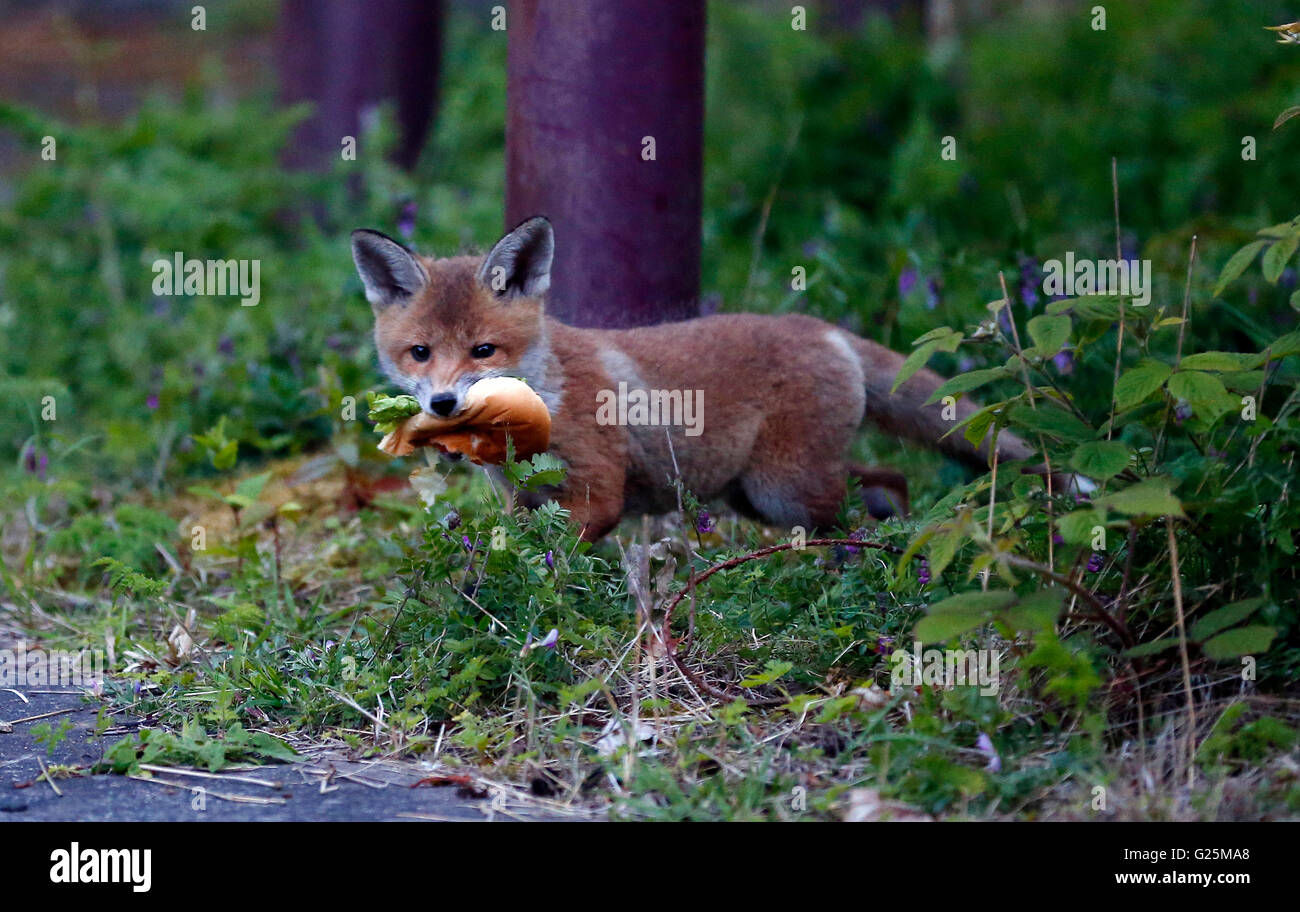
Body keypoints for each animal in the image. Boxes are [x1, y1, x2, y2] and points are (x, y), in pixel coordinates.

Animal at [351, 216, 1043, 541]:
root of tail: (823, 328)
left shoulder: (599, 493)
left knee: (866, 500)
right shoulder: (522, 502)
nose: (444, 403)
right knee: (883, 481)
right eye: (419, 353)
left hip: (783, 488)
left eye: (484, 350)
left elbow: (555, 562)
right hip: (760, 495)